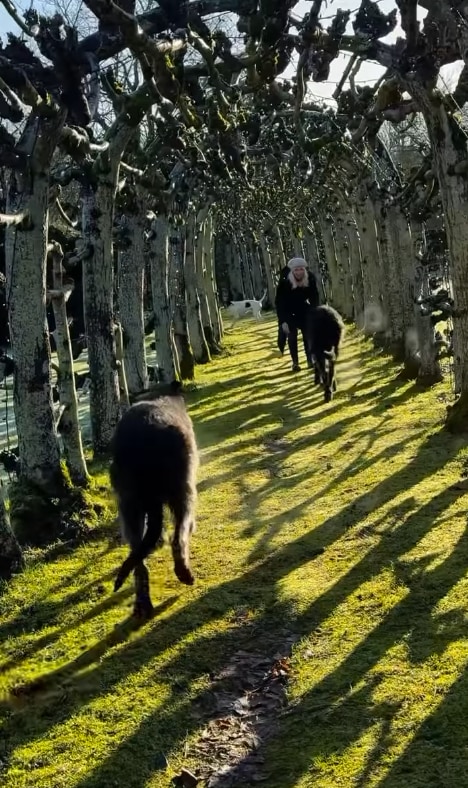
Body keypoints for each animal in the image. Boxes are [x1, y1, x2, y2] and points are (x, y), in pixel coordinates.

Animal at [110, 380, 198, 616]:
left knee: (138, 557)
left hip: (128, 502)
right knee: (178, 536)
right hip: (181, 490)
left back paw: (142, 602)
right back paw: (184, 572)